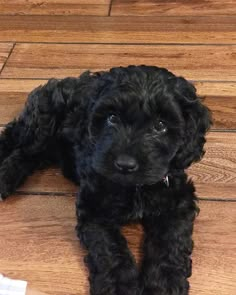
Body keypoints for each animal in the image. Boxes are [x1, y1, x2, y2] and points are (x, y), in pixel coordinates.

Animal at [0, 67, 210, 295]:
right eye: (112, 118)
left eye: (160, 125)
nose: (125, 164)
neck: (135, 188)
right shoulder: (94, 207)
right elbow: (110, 249)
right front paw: (119, 287)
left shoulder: (178, 199)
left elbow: (171, 239)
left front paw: (165, 284)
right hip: (40, 125)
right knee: (17, 144)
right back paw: (4, 177)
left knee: (29, 156)